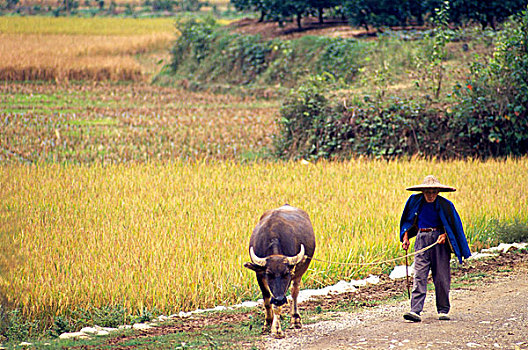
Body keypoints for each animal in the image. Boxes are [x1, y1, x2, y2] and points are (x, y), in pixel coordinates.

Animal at [242, 204, 314, 338]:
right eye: (268, 273)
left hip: (299, 273)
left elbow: (278, 305)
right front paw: (267, 324)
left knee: (295, 292)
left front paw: (276, 329)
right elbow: (267, 300)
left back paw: (295, 320)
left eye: (286, 273)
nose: (279, 299)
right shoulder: (259, 275)